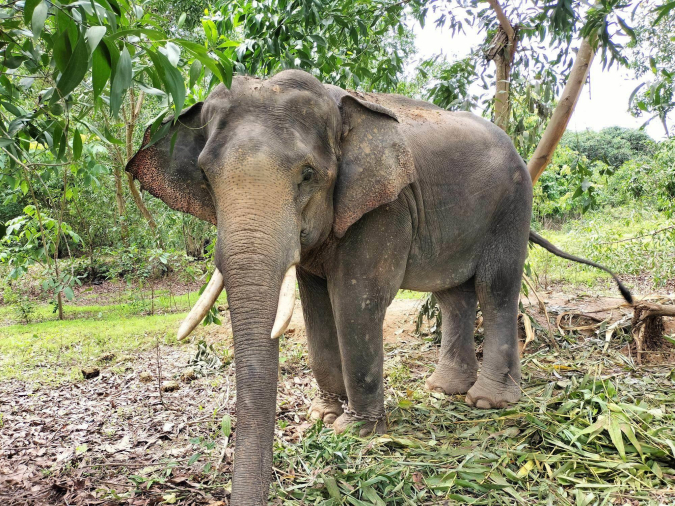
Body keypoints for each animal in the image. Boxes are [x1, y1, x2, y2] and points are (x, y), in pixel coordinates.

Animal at [127, 69, 632, 504]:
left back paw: (486, 401)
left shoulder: (383, 206)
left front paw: (355, 432)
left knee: (496, 288)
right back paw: (443, 390)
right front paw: (323, 417)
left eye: (307, 174)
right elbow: (314, 305)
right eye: (206, 176)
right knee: (453, 294)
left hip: (512, 204)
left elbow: (355, 300)